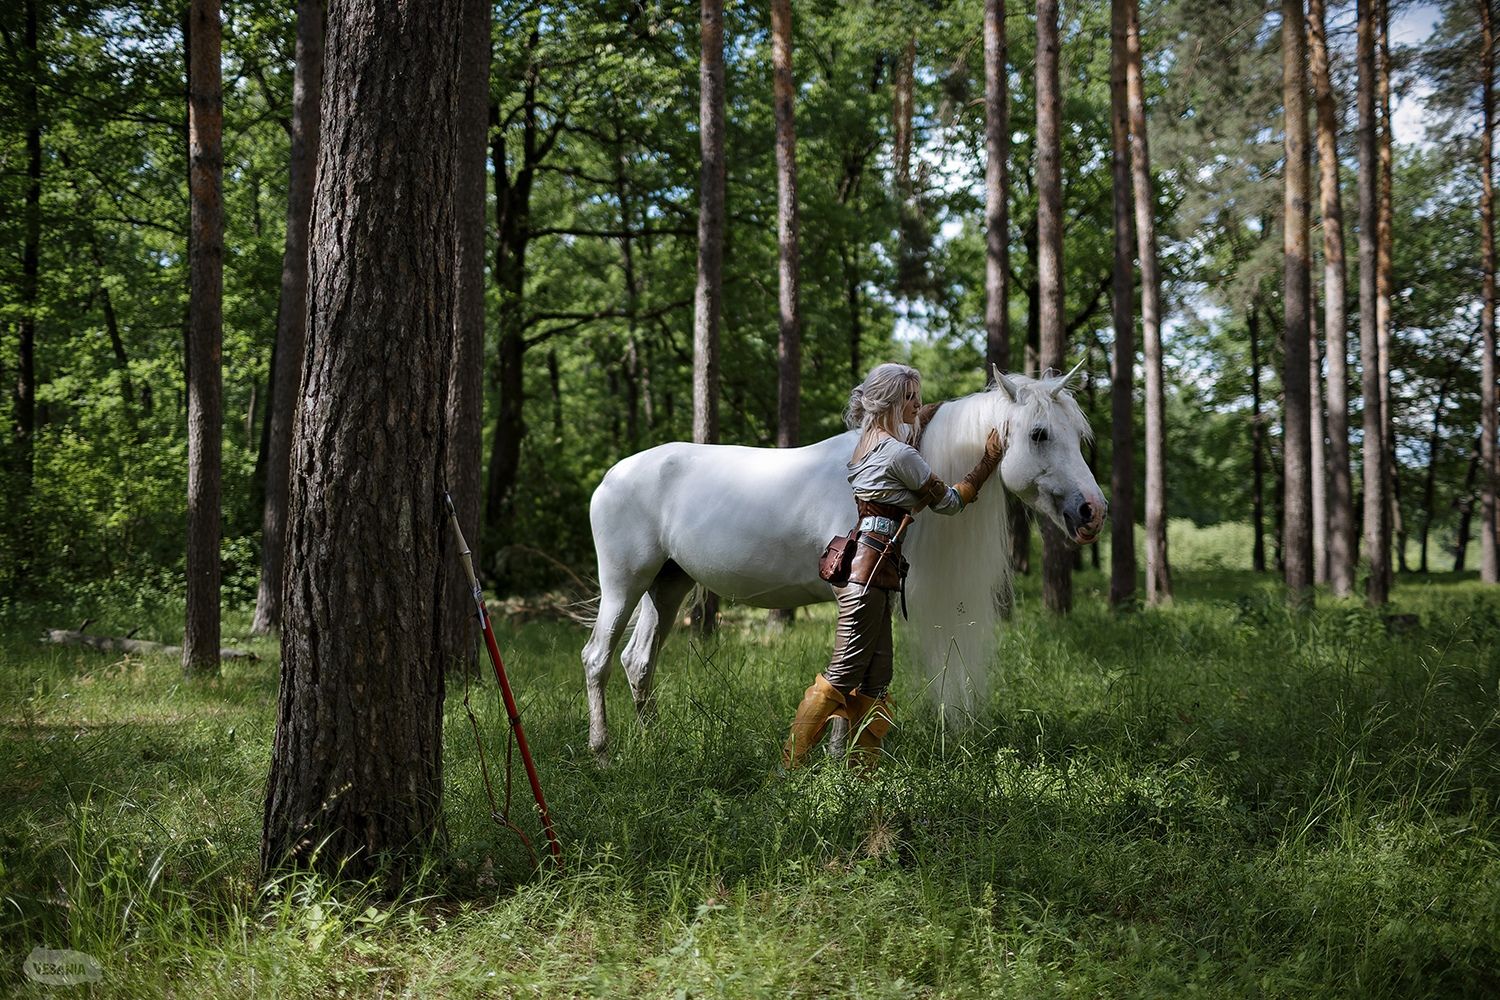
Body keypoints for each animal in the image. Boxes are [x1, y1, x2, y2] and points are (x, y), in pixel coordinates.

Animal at [579, 367, 1110, 758]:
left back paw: (652, 741)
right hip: (624, 585)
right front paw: (837, 760)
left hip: (667, 585)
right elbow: (847, 675)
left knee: (638, 661)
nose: (1092, 511)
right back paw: (601, 751)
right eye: (1039, 434)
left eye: (1078, 434)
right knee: (598, 658)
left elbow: (863, 679)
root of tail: (612, 475)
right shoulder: (853, 595)